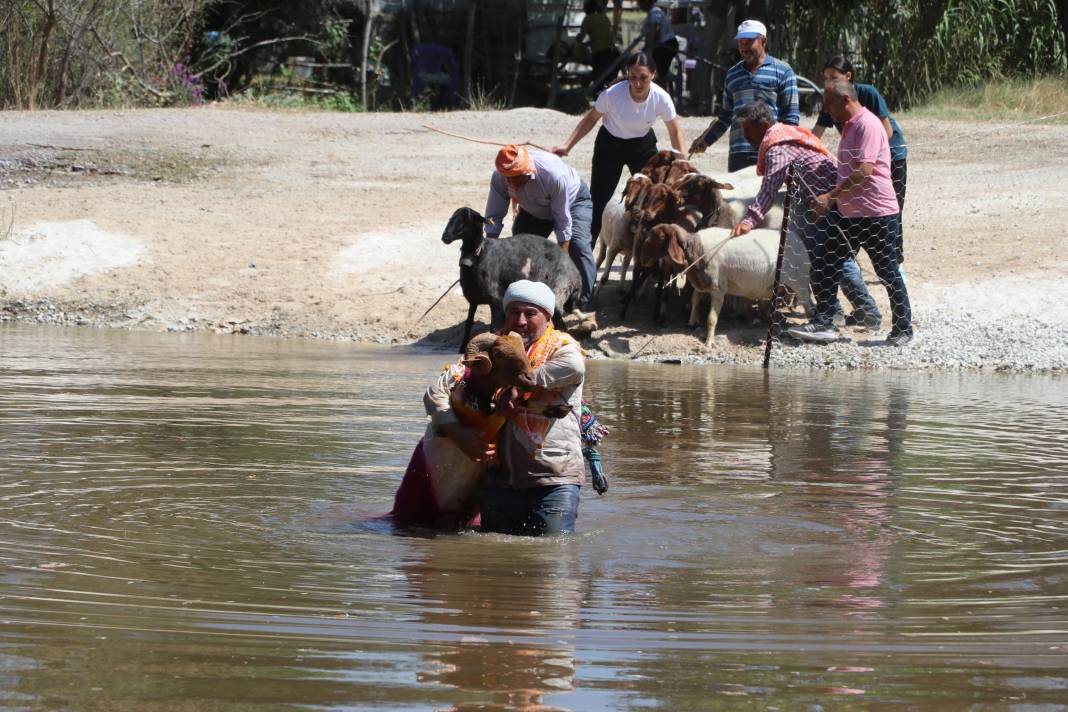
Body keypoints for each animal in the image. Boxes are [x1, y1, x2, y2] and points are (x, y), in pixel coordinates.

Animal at [440, 207, 580, 352]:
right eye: (452, 218)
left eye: (466, 220)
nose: (445, 237)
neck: (479, 256)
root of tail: (576, 274)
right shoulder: (474, 299)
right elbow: (468, 324)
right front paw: (462, 348)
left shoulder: (496, 301)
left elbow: (494, 329)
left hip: (558, 292)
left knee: (562, 327)